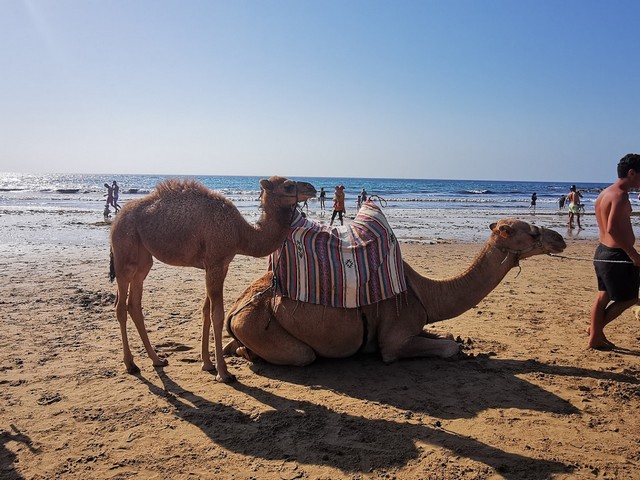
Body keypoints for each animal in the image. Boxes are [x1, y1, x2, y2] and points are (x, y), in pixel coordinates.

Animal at [111, 176, 318, 382]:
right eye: (288, 185)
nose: (312, 188)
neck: (240, 233)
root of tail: (116, 220)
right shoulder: (216, 263)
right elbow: (217, 315)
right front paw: (223, 372)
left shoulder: (219, 265)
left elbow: (206, 310)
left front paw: (207, 364)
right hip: (124, 254)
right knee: (121, 305)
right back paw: (131, 364)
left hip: (143, 259)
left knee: (134, 303)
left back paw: (157, 360)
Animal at [224, 219, 564, 366]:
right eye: (532, 231)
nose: (559, 238)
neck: (425, 293)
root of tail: (234, 309)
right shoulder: (394, 341)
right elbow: (447, 347)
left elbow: (448, 336)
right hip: (260, 325)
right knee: (301, 355)